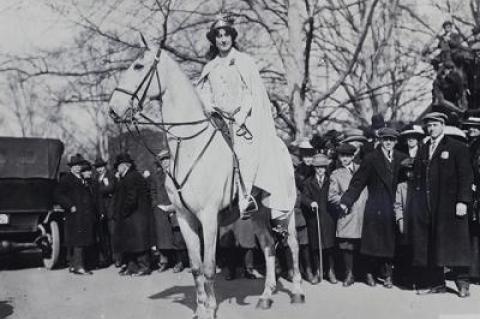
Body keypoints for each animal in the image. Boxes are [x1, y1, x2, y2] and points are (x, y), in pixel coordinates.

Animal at [109, 47, 304, 319]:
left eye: (138, 66)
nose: (113, 109)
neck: (190, 146)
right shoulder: (184, 217)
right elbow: (195, 267)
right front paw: (200, 308)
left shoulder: (209, 217)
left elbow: (210, 267)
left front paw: (211, 309)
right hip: (257, 213)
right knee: (268, 246)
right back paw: (266, 296)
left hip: (285, 208)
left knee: (292, 244)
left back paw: (297, 291)